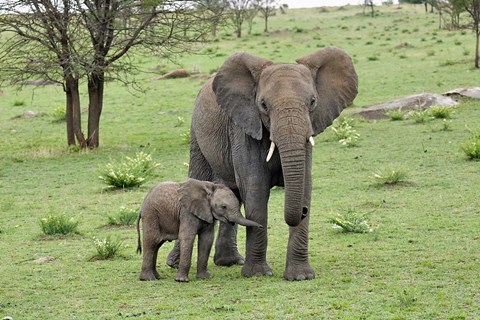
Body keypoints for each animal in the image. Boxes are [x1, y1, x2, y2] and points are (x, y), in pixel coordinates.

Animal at [167, 45, 358, 280]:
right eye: (263, 105)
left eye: (313, 102)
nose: (303, 211)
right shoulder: (244, 127)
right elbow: (255, 189)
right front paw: (257, 274)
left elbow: (305, 185)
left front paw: (301, 276)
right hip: (196, 134)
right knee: (199, 179)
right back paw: (175, 264)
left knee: (233, 193)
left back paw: (229, 262)